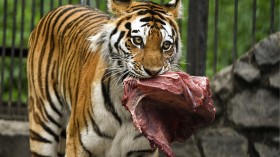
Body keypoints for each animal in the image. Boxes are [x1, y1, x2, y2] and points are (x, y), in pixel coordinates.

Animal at [27, 0, 183, 156]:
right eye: (137, 40)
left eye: (166, 45)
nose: (154, 72)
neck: (126, 109)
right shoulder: (78, 145)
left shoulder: (144, 150)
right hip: (43, 126)